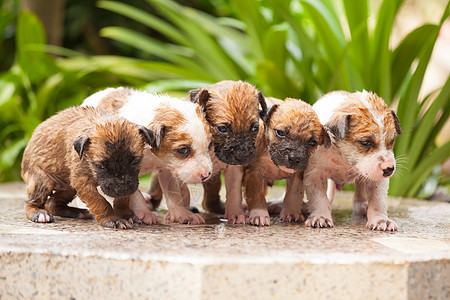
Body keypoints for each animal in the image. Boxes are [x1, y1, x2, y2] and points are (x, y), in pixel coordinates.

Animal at [22, 106, 157, 229]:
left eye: (136, 161)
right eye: (99, 166)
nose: (121, 189)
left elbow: (123, 200)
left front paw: (125, 214)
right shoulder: (83, 182)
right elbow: (100, 201)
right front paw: (112, 218)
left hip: (69, 188)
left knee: (52, 203)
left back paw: (79, 212)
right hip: (43, 181)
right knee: (31, 203)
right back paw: (38, 213)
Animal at [82, 85, 213, 224]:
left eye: (209, 145)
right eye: (183, 150)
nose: (206, 175)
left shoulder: (166, 169)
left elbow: (174, 194)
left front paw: (182, 214)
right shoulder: (127, 171)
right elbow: (135, 194)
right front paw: (145, 213)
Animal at [243, 97, 330, 226]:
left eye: (312, 142)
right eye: (280, 133)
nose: (294, 157)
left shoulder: (297, 175)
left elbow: (293, 194)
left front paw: (291, 212)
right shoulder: (254, 173)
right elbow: (256, 194)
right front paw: (259, 214)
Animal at [304, 90, 402, 231]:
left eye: (392, 140)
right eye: (365, 142)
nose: (389, 169)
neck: (342, 157)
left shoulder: (377, 179)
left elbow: (377, 199)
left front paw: (381, 220)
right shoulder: (314, 174)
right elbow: (319, 198)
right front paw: (320, 217)